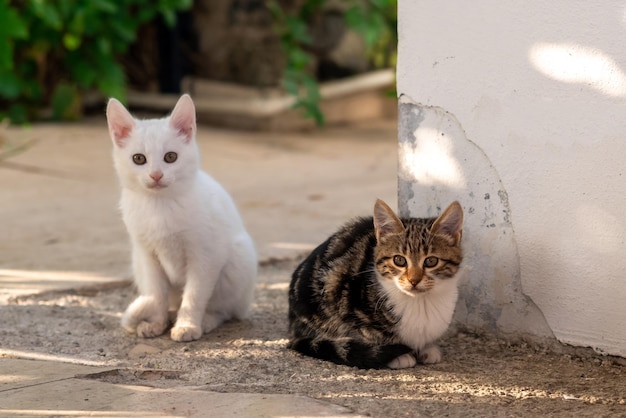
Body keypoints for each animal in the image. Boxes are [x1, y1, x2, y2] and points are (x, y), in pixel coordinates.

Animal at [107, 94, 256, 342]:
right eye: (138, 159)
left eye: (170, 157)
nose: (156, 175)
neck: (159, 206)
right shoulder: (147, 255)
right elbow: (156, 293)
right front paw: (156, 323)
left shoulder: (205, 256)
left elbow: (194, 295)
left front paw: (188, 325)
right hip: (137, 262)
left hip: (238, 260)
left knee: (226, 310)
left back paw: (206, 320)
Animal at [286, 199, 458, 370]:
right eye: (399, 260)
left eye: (431, 261)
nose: (414, 280)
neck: (420, 301)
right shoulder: (350, 303)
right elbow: (369, 334)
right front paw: (398, 356)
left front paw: (428, 347)